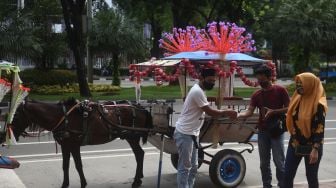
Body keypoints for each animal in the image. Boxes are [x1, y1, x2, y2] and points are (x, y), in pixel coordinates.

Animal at [10, 98, 152, 188]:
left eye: (16, 116)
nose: (10, 133)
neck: (63, 117)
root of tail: (140, 108)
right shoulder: (65, 146)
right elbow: (65, 166)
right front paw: (65, 184)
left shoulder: (74, 145)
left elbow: (78, 166)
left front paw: (83, 183)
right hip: (131, 137)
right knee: (139, 154)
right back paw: (139, 178)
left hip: (132, 137)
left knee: (139, 154)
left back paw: (136, 180)